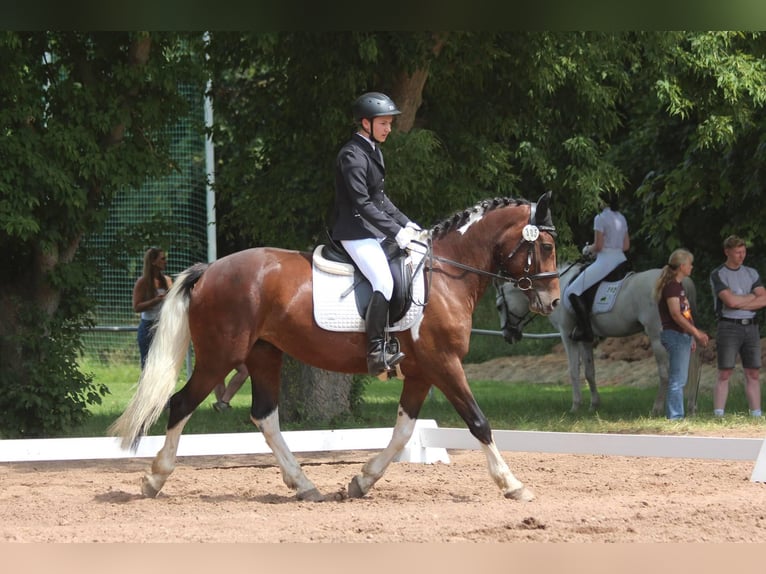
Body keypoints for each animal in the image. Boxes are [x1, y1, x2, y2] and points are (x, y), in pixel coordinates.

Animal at [111, 194, 560, 504]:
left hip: (264, 354)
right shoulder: (444, 363)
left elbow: (404, 432)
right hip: (219, 357)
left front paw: (361, 480)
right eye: (547, 247)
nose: (554, 301)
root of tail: (210, 270)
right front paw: (513, 485)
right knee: (181, 404)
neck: (449, 273)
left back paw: (305, 485)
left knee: (265, 417)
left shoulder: (421, 372)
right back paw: (154, 478)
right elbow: (478, 422)